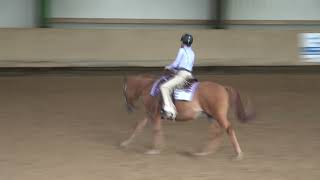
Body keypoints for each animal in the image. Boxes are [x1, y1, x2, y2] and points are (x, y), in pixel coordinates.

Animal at [120, 72, 255, 160]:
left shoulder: (154, 114)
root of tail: (223, 87)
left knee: (228, 129)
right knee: (215, 132)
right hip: (211, 116)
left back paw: (238, 154)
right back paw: (203, 153)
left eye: (125, 90)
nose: (129, 108)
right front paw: (125, 143)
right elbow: (139, 127)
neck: (149, 89)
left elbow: (156, 129)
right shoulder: (149, 114)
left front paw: (155, 149)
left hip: (218, 115)